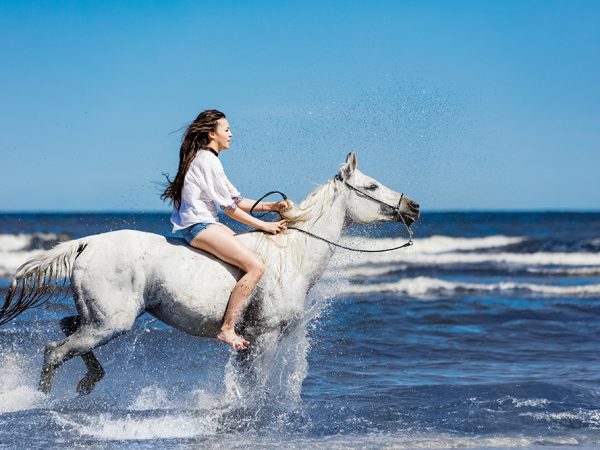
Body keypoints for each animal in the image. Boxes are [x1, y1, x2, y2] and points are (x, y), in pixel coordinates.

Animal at [1, 153, 422, 396]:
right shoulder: (264, 338)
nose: (414, 206)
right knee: (54, 351)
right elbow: (256, 391)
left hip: (100, 319)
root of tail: (87, 243)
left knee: (67, 327)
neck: (293, 256)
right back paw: (46, 400)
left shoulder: (251, 344)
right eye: (370, 185)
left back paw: (89, 381)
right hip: (111, 322)